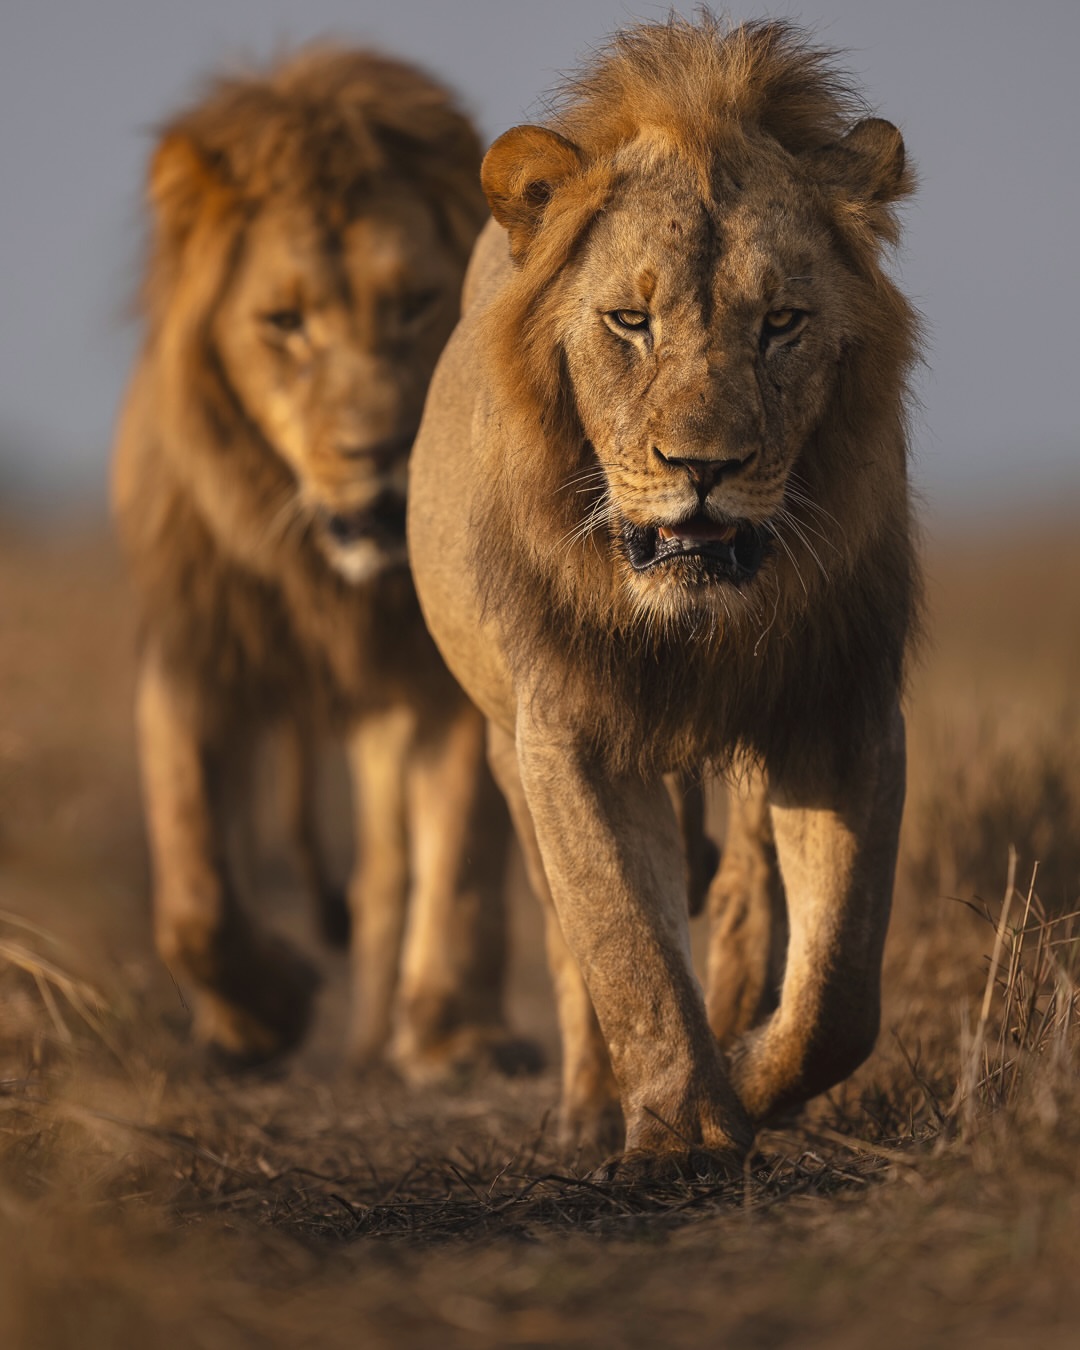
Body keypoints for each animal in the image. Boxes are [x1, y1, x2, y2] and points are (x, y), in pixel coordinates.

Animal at [113, 46, 534, 1078]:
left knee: (387, 874)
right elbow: (193, 890)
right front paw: (262, 1010)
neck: (324, 578)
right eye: (284, 322)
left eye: (415, 304)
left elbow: (460, 851)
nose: (382, 454)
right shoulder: (195, 648)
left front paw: (455, 1033)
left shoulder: (447, 667)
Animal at [409, 17, 921, 1168]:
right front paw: (684, 1131)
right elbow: (624, 945)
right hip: (503, 742)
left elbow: (841, 990)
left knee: (740, 894)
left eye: (782, 321)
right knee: (574, 936)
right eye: (629, 321)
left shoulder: (841, 704)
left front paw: (753, 1074)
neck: (696, 629)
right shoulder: (565, 727)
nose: (703, 467)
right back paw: (594, 1106)